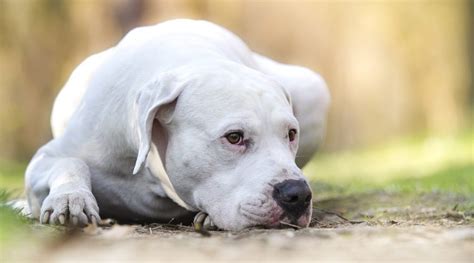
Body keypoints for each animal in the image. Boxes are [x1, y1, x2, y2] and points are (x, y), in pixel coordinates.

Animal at [25, 19, 330, 232]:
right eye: (234, 137)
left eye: (291, 134)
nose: (297, 194)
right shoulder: (46, 159)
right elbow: (70, 162)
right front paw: (70, 198)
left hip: (313, 88)